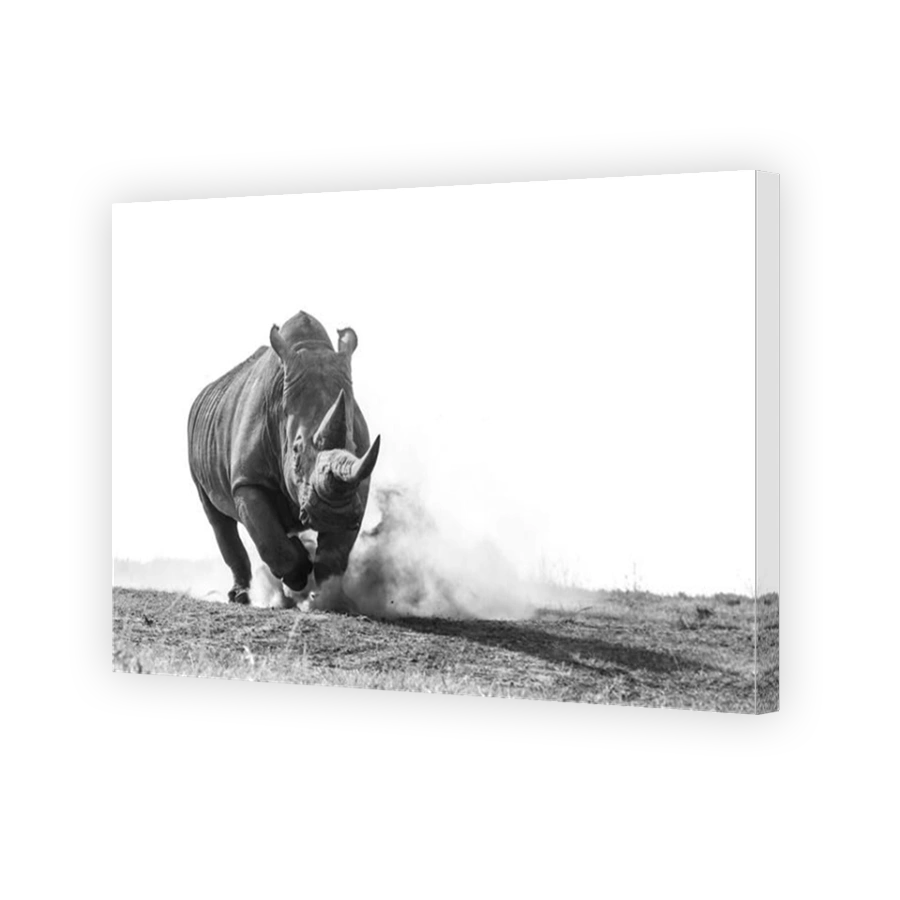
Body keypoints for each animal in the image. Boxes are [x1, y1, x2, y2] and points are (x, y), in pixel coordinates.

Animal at [187, 310, 380, 613]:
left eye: (353, 447)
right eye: (297, 450)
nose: (333, 514)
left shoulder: (359, 480)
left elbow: (337, 550)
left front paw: (334, 599)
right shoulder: (247, 480)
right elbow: (270, 540)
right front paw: (298, 576)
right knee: (219, 520)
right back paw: (242, 597)